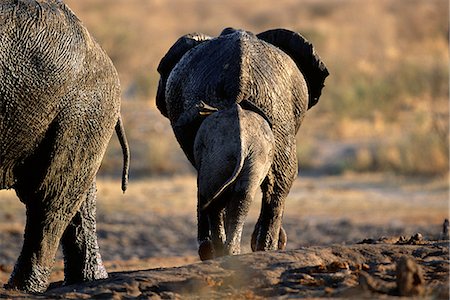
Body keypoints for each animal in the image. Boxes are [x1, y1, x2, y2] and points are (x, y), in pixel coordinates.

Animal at [193, 101, 274, 260]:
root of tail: (243, 139)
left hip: (217, 153)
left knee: (211, 198)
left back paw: (220, 251)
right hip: (256, 154)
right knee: (243, 196)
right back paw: (231, 252)